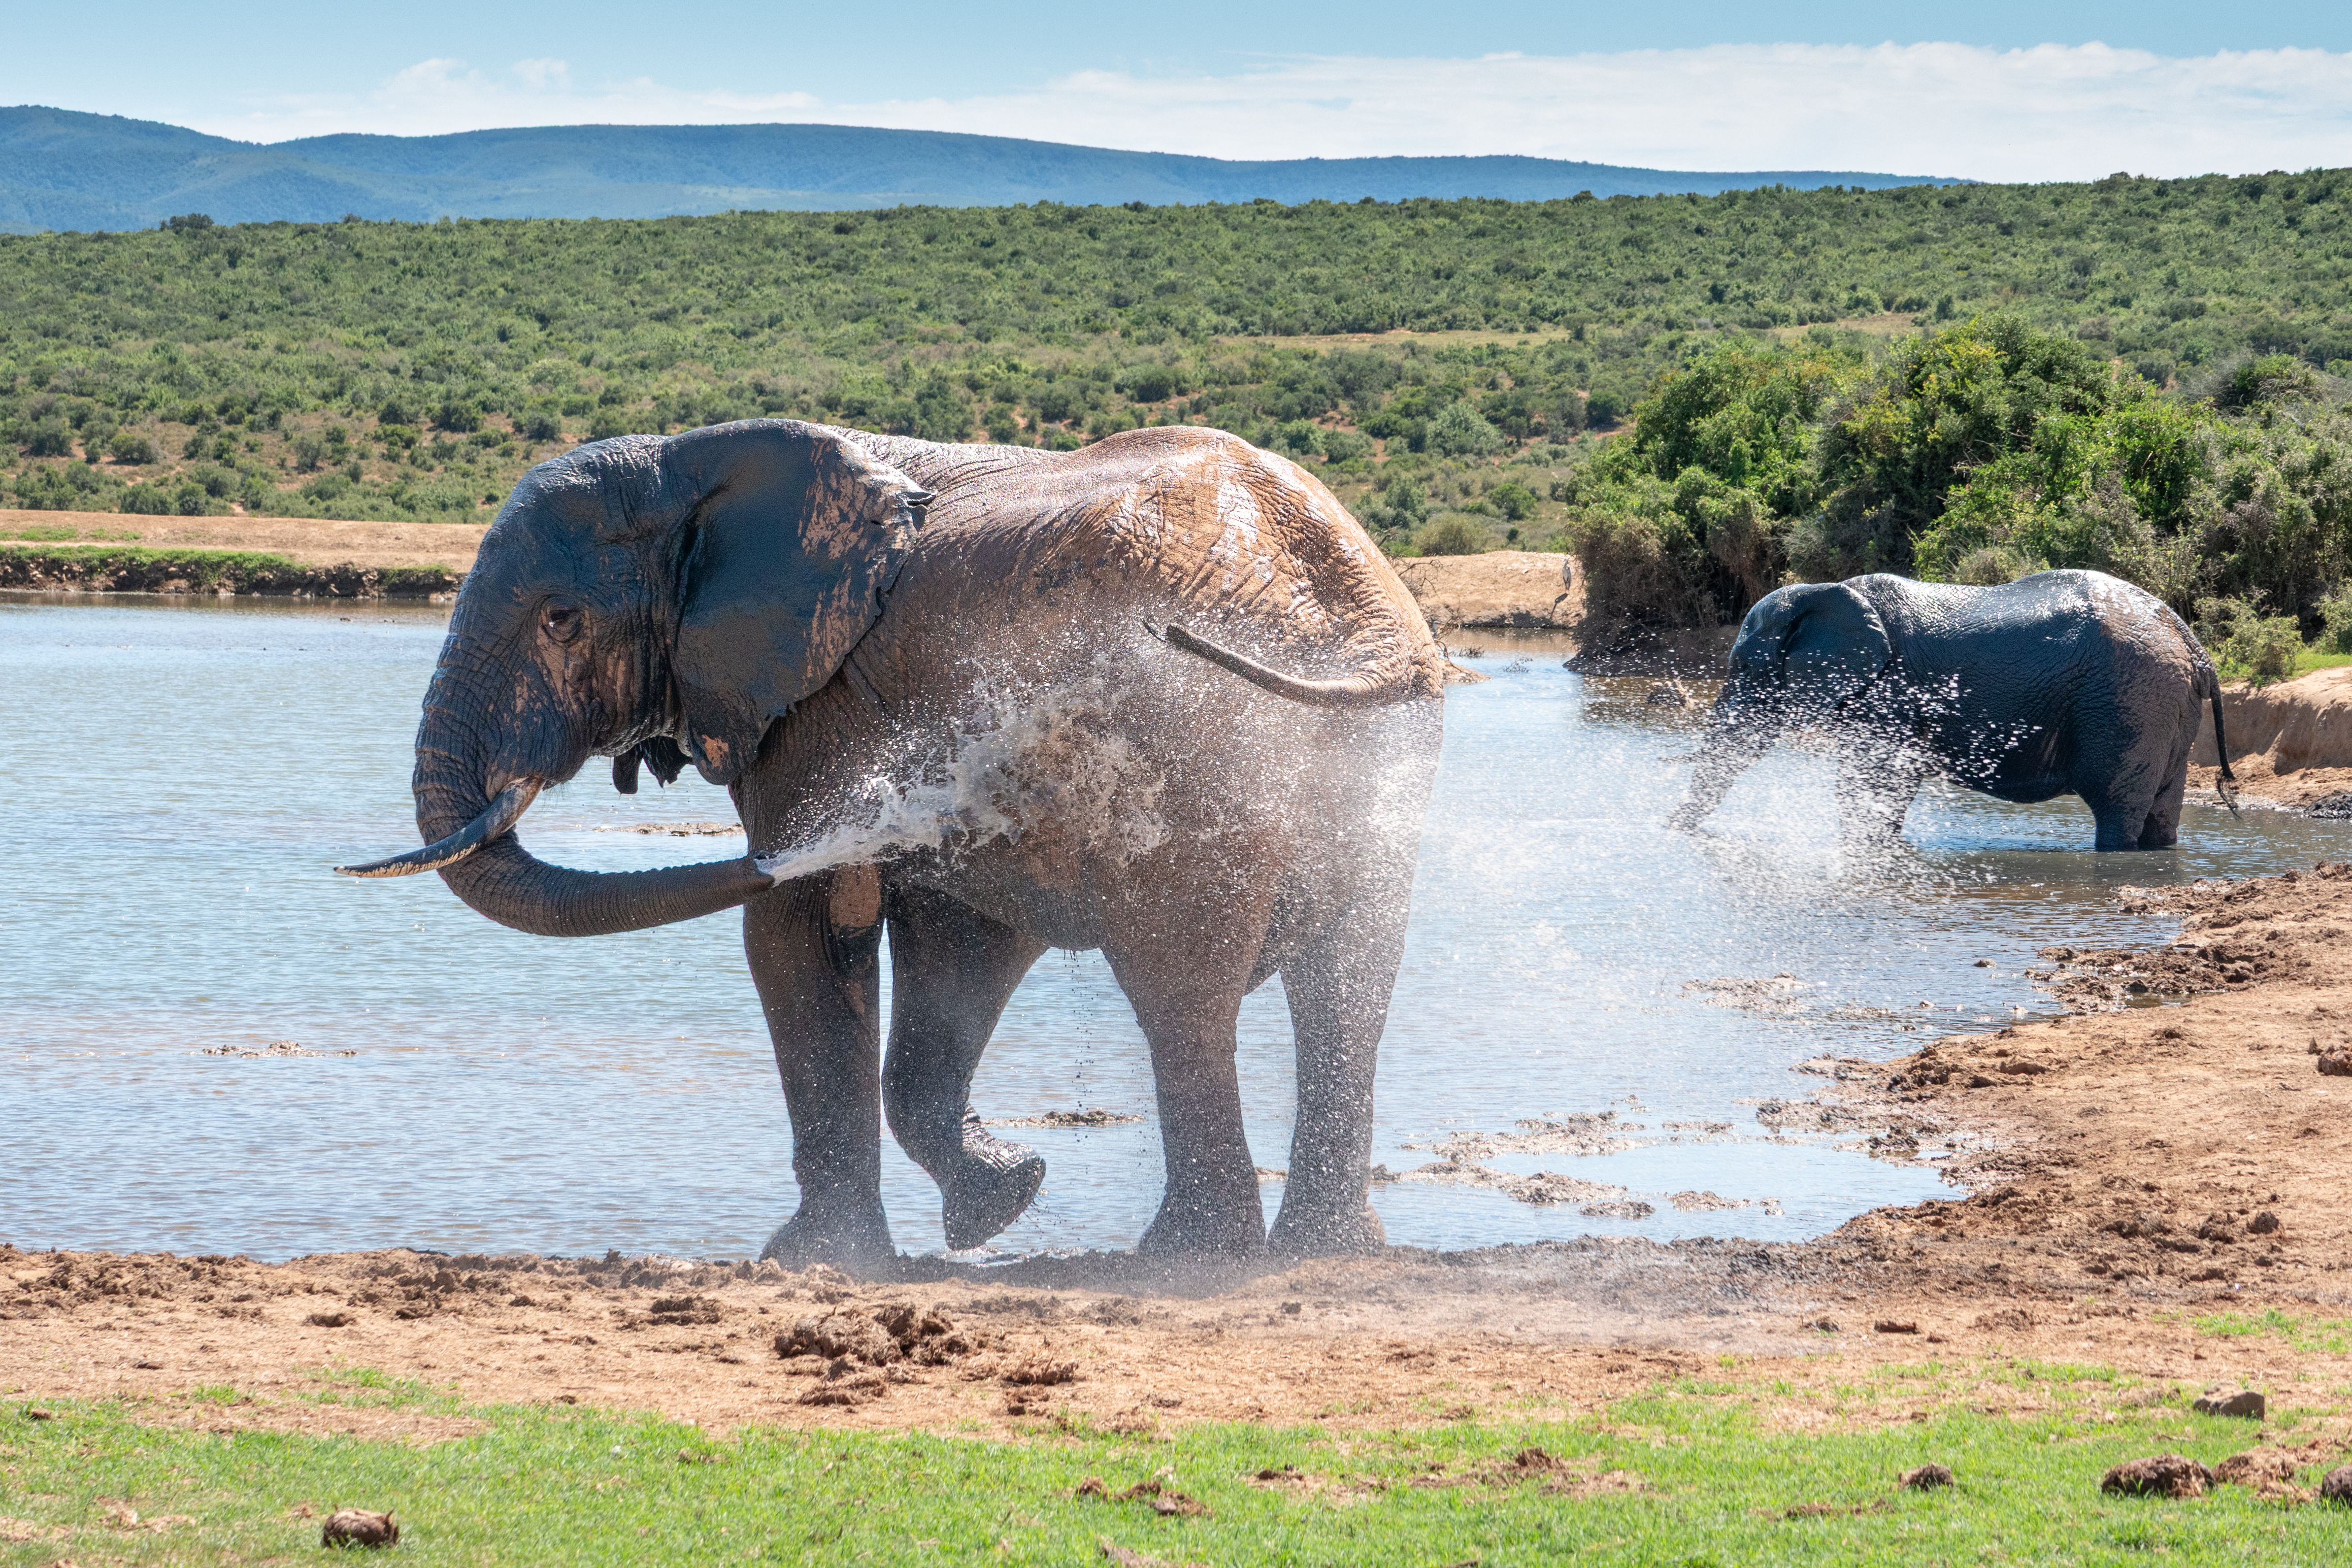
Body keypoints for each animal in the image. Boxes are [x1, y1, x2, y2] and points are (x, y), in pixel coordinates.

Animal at [340, 420, 1446, 1272]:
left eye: (562, 620)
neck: (691, 462)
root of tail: (1336, 602)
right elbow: (953, 946)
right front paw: (1003, 1198)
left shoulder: (816, 713)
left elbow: (800, 926)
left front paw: (811, 1261)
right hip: (1373, 758)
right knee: (1349, 982)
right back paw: (1327, 1250)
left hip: (1190, 742)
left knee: (1182, 990)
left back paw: (1191, 1257)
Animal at [1667, 570, 2240, 850]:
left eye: (1744, 667)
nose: (1666, 831)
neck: (1825, 592)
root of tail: (2194, 647)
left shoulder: (1890, 692)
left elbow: (1874, 783)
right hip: (2163, 706)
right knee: (2161, 810)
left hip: (2128, 701)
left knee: (2116, 807)